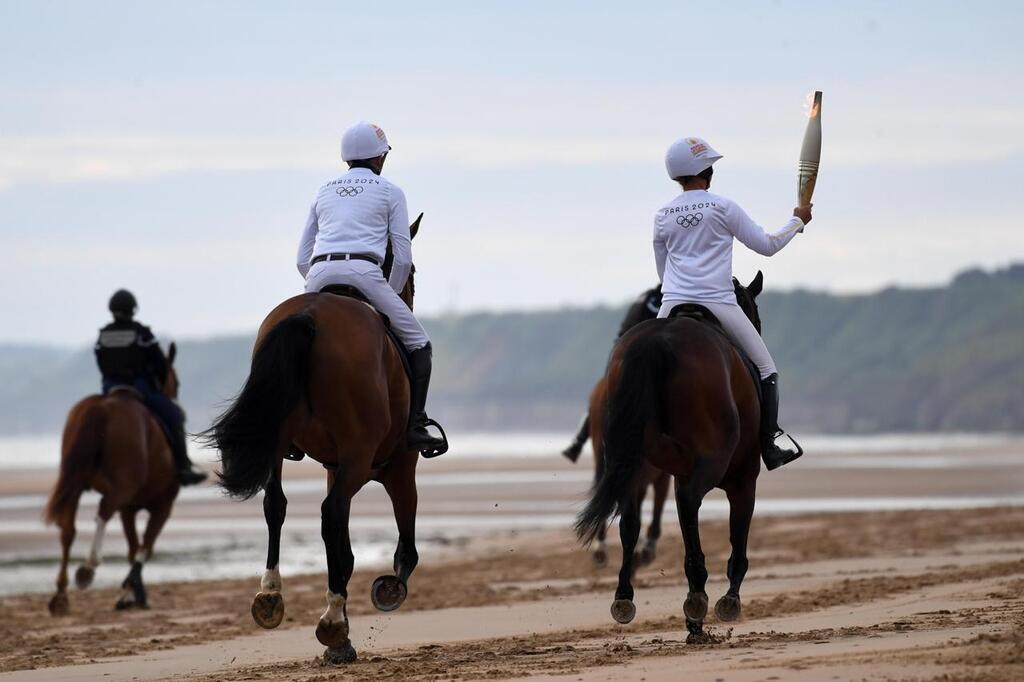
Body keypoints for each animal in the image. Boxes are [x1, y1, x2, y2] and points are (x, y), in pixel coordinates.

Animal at [45, 342, 182, 614]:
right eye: (176, 383)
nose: (173, 396)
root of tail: (102, 408)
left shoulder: (128, 509)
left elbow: (134, 548)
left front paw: (131, 592)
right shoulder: (162, 506)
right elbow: (144, 548)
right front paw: (132, 592)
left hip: (76, 483)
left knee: (68, 529)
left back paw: (61, 595)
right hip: (121, 488)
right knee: (103, 510)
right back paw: (87, 568)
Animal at [205, 215, 430, 659]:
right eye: (412, 271)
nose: (409, 299)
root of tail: (311, 314)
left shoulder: (333, 466)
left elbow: (343, 549)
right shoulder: (398, 467)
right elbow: (405, 548)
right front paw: (387, 590)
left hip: (277, 442)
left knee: (276, 504)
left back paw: (271, 597)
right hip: (360, 457)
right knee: (331, 514)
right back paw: (330, 621)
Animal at [577, 270, 770, 638]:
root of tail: (659, 342)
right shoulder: (744, 478)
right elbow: (737, 533)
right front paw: (729, 600)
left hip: (631, 462)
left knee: (631, 520)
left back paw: (626, 596)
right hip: (707, 466)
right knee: (687, 501)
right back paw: (696, 597)